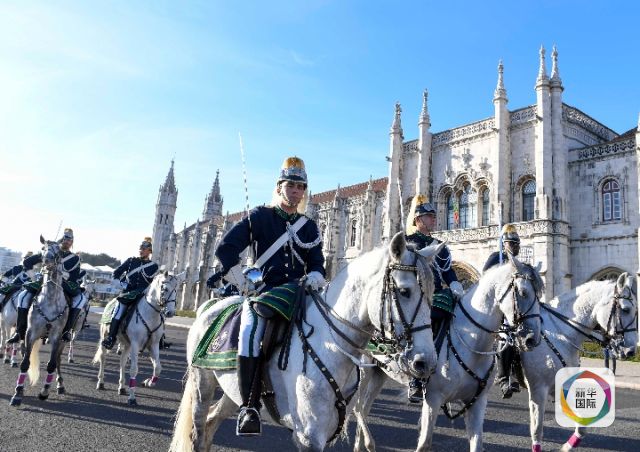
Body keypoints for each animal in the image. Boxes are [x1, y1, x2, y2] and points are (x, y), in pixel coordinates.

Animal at [10, 236, 70, 406]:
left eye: (59, 250)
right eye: (43, 248)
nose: (47, 259)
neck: (49, 299)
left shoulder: (56, 336)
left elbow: (51, 365)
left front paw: (44, 392)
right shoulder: (30, 333)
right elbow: (25, 362)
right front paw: (17, 393)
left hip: (62, 341)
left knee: (57, 360)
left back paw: (60, 385)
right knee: (25, 353)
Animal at [92, 270, 182, 405]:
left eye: (176, 290)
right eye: (165, 289)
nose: (170, 313)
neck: (151, 314)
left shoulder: (153, 345)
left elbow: (158, 368)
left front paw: (148, 382)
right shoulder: (135, 344)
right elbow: (134, 369)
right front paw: (132, 398)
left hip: (126, 344)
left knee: (122, 362)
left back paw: (121, 387)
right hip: (106, 337)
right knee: (103, 358)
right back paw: (100, 382)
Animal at [169, 232, 441, 452]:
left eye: (432, 295)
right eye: (404, 291)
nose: (426, 363)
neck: (330, 345)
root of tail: (210, 306)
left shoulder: (326, 431)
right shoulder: (308, 436)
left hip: (233, 391)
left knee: (211, 424)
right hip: (202, 384)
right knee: (197, 434)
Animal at [354, 256, 544, 452]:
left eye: (539, 295)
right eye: (522, 292)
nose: (532, 339)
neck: (471, 344)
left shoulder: (477, 403)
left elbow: (476, 444)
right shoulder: (433, 399)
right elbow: (424, 444)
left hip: (379, 373)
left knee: (364, 408)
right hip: (364, 371)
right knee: (358, 408)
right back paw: (369, 443)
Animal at [520, 272, 637, 452]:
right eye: (625, 309)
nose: (631, 351)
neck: (560, 334)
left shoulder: (560, 384)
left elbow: (582, 424)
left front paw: (568, 446)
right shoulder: (538, 390)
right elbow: (537, 429)